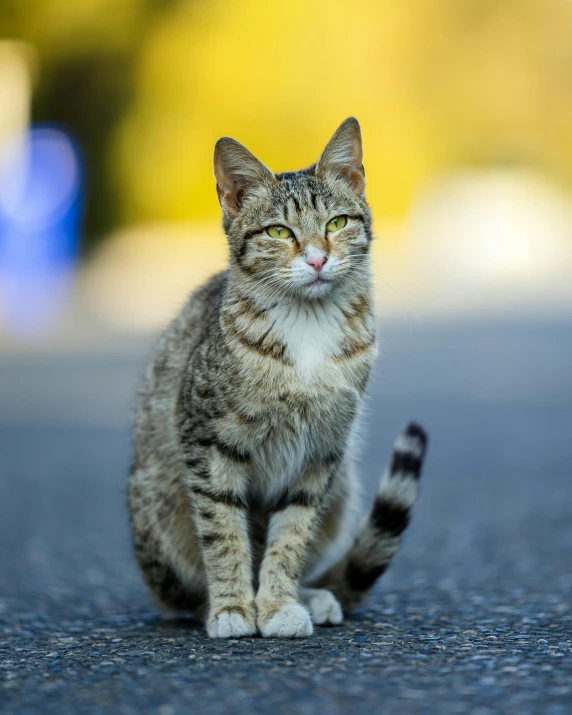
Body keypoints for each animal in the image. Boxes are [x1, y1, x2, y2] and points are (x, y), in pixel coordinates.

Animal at [127, 117, 426, 636]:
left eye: (336, 223)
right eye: (278, 231)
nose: (317, 259)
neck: (307, 323)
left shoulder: (321, 451)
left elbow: (291, 536)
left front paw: (278, 605)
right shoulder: (207, 444)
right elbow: (223, 532)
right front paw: (233, 608)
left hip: (342, 485)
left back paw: (314, 596)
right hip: (157, 506)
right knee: (186, 591)